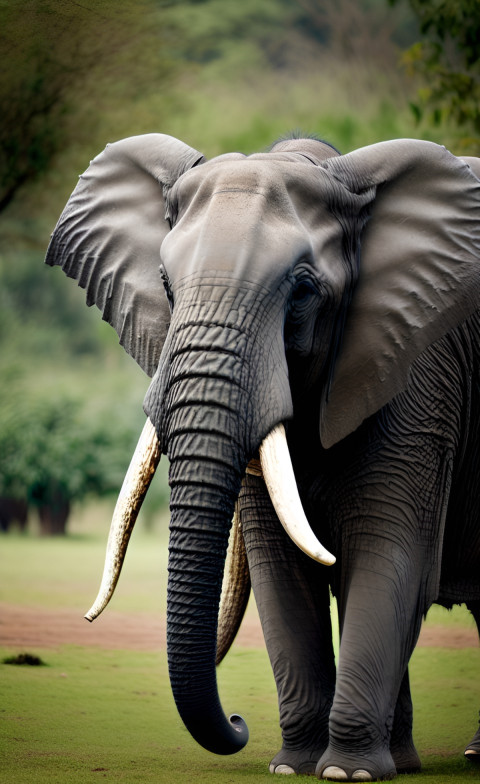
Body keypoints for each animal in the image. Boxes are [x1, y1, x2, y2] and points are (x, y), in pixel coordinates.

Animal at [45, 132, 480, 781]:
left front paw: (346, 772)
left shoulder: (420, 370)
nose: (237, 722)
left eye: (301, 292)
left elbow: (391, 552)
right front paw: (296, 766)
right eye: (166, 287)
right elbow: (283, 570)